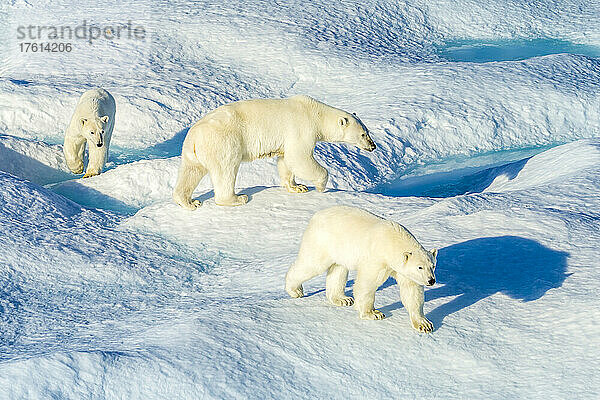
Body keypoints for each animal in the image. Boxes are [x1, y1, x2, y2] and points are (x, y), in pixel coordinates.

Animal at [171, 95, 376, 209]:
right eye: (363, 134)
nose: (373, 146)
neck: (315, 112)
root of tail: (194, 136)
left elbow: (286, 160)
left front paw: (298, 187)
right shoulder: (301, 128)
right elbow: (299, 158)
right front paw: (320, 186)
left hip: (193, 152)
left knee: (191, 172)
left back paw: (189, 202)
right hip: (224, 141)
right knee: (226, 169)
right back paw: (237, 198)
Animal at [284, 206, 438, 334]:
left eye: (433, 265)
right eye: (419, 267)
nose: (431, 280)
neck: (392, 241)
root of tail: (316, 216)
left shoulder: (403, 271)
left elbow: (411, 291)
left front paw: (424, 324)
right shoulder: (377, 259)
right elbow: (367, 283)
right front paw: (373, 313)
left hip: (340, 249)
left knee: (338, 270)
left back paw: (343, 299)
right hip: (322, 242)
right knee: (311, 264)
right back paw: (295, 290)